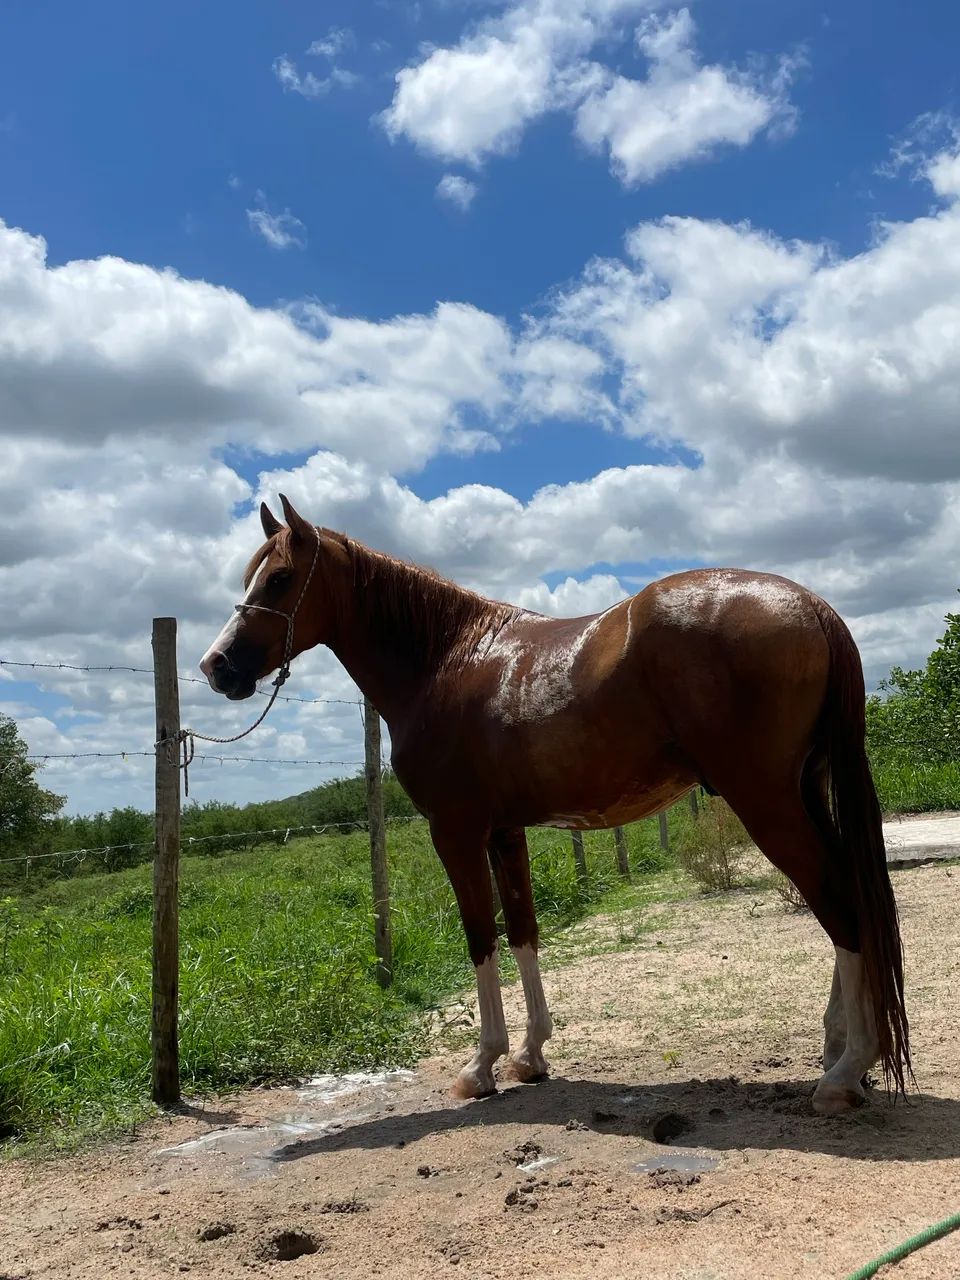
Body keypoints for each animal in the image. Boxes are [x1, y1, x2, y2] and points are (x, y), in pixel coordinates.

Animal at [199, 494, 910, 1116]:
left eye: (281, 578)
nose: (216, 665)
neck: (446, 660)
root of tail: (811, 605)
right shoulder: (505, 831)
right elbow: (523, 931)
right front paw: (530, 1057)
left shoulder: (456, 831)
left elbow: (480, 936)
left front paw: (481, 1066)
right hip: (805, 793)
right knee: (851, 898)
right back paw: (842, 1054)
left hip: (767, 801)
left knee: (841, 906)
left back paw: (845, 1073)